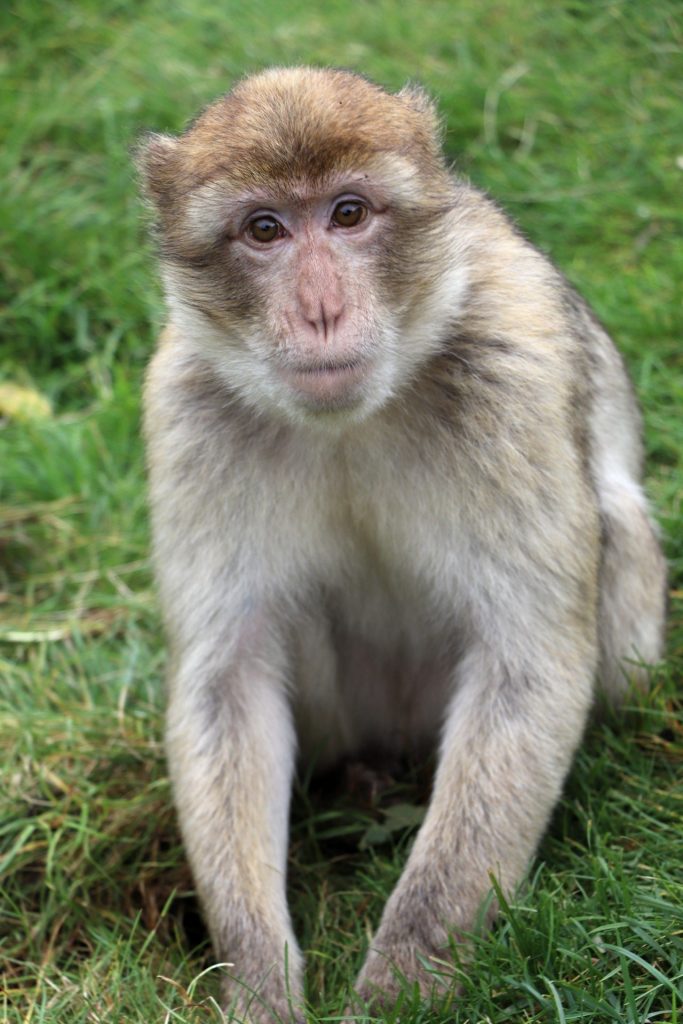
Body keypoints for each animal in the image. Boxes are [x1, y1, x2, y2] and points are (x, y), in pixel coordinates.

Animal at [139, 68, 667, 1019]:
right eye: (264, 229)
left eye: (348, 214)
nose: (320, 309)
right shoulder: (187, 406)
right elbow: (226, 678)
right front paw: (259, 983)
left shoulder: (510, 374)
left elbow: (527, 662)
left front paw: (402, 986)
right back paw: (362, 780)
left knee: (617, 526)